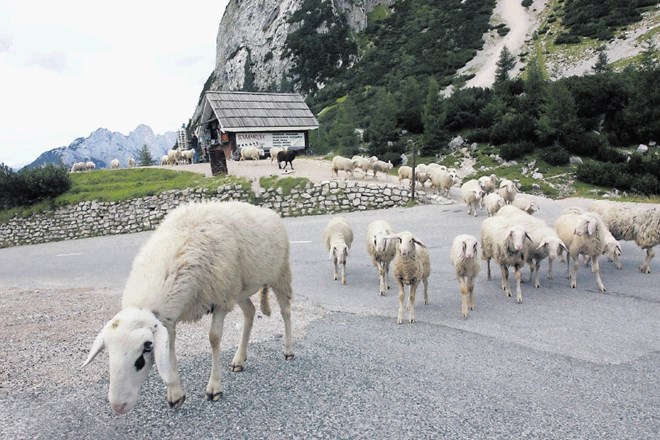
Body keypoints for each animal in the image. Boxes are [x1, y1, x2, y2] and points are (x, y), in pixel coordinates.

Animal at [81, 201, 292, 414]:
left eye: (143, 354)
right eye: (109, 355)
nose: (118, 405)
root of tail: (264, 209)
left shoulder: (221, 299)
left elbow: (214, 338)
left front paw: (214, 388)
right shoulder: (170, 318)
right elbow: (170, 346)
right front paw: (175, 394)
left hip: (280, 273)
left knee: (285, 311)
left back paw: (288, 350)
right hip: (239, 289)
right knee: (250, 312)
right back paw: (239, 359)